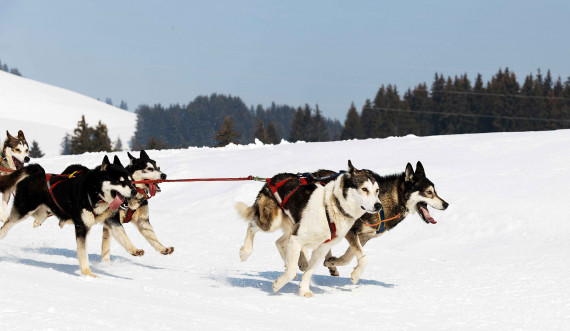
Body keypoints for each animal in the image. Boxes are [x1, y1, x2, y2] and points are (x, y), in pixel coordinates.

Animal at [0, 157, 137, 276]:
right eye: (120, 181)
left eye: (130, 180)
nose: (135, 191)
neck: (94, 193)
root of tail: (37, 173)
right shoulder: (82, 227)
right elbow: (83, 252)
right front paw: (87, 273)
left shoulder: (111, 221)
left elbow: (123, 236)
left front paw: (134, 250)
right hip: (24, 210)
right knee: (8, 222)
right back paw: (2, 233)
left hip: (44, 208)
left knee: (40, 215)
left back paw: (37, 222)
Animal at [235, 161, 382, 298]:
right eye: (364, 189)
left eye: (377, 190)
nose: (378, 205)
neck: (332, 206)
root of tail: (273, 178)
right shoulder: (296, 239)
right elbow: (291, 271)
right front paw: (278, 285)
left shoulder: (321, 248)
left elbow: (309, 272)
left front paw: (304, 290)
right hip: (272, 223)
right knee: (251, 226)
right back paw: (245, 252)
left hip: (292, 227)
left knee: (279, 242)